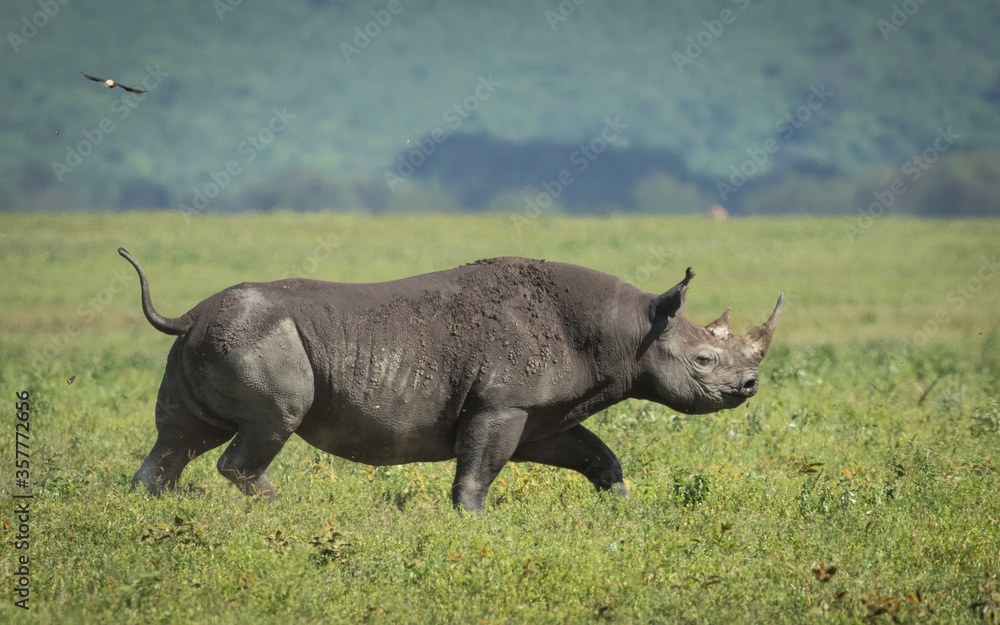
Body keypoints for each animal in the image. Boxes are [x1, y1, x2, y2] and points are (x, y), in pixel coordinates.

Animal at [120, 248, 782, 512]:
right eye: (704, 362)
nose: (749, 388)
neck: (629, 330)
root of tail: (187, 313)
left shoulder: (543, 415)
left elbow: (597, 454)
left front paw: (621, 505)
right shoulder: (502, 404)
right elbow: (478, 469)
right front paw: (472, 522)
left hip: (212, 337)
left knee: (180, 436)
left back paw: (148, 506)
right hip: (256, 337)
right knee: (268, 423)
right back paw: (278, 508)